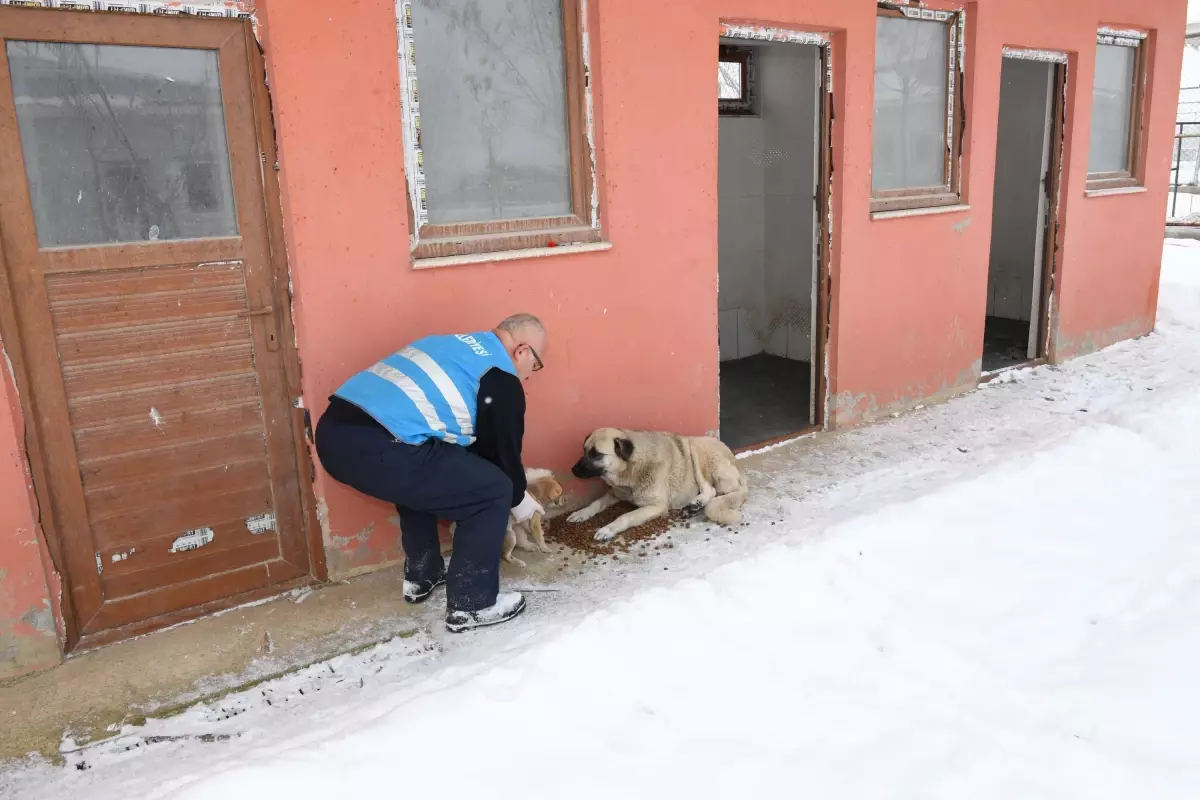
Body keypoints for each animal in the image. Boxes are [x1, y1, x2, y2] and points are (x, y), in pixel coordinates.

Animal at [566, 429, 744, 542]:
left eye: (596, 454)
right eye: (584, 450)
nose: (573, 470)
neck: (632, 469)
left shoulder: (657, 506)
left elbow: (626, 516)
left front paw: (608, 529)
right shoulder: (615, 493)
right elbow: (595, 503)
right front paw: (581, 513)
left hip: (696, 446)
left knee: (711, 490)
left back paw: (695, 504)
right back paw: (692, 508)